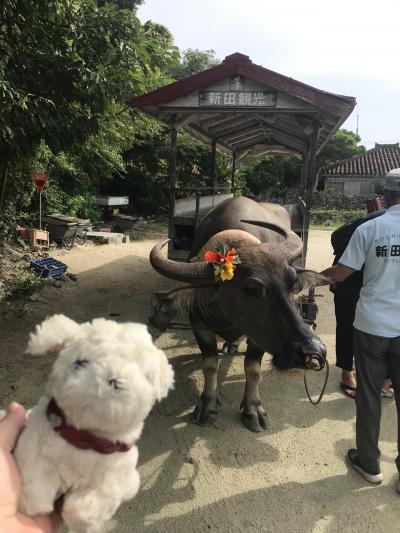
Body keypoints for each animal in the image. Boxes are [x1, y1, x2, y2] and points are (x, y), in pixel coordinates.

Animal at [148, 195, 326, 432]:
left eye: (292, 283)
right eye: (251, 288)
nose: (314, 351)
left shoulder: (258, 335)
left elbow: (252, 370)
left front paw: (253, 409)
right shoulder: (199, 324)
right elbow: (209, 365)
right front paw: (207, 404)